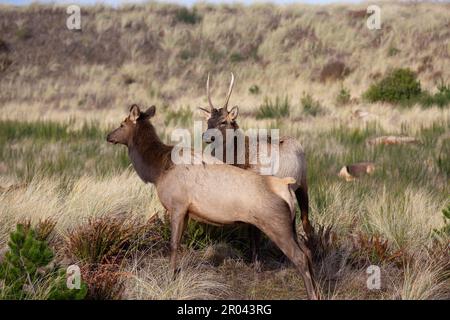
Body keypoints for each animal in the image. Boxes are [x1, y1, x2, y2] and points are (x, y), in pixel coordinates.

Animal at [107, 105, 320, 300]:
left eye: (122, 124)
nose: (108, 136)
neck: (157, 171)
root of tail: (285, 187)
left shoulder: (177, 205)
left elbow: (173, 245)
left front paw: (170, 278)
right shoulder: (186, 212)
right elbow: (180, 244)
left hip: (276, 224)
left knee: (300, 257)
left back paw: (312, 294)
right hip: (290, 223)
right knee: (308, 251)